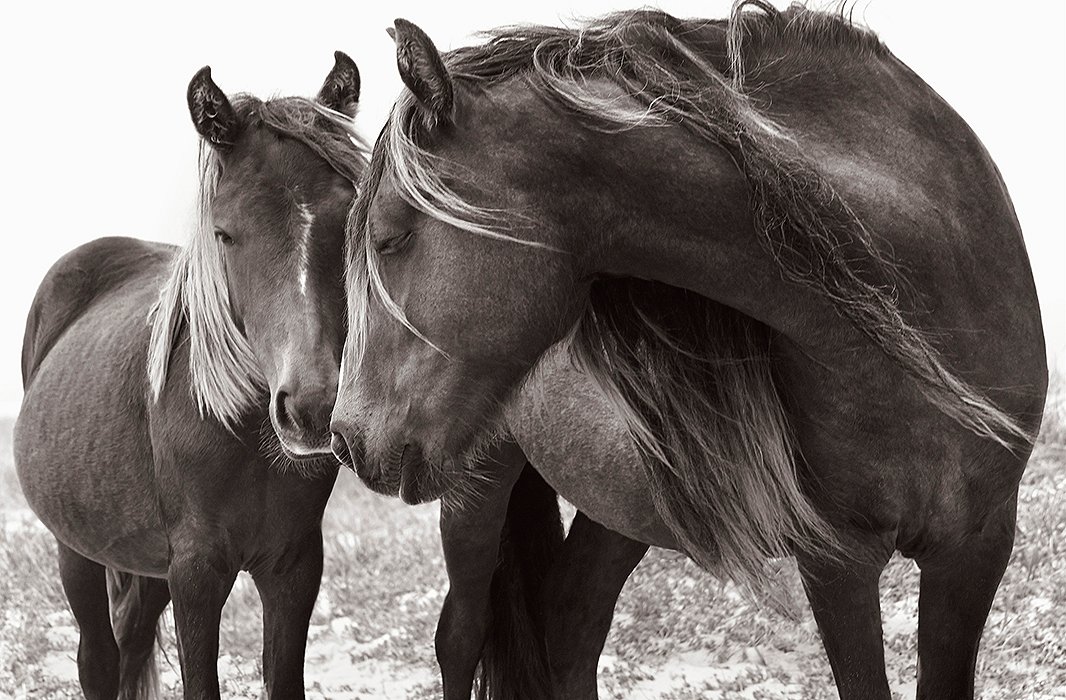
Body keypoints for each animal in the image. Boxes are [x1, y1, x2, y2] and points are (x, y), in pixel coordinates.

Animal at [13, 55, 366, 698]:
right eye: (224, 233)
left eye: (348, 218)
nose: (310, 407)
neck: (241, 433)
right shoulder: (197, 574)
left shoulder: (294, 567)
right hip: (75, 551)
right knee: (98, 660)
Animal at [334, 5, 1048, 698]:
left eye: (390, 237)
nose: (345, 438)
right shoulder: (840, 560)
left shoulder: (978, 546)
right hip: (478, 485)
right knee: (461, 638)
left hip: (615, 505)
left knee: (570, 627)